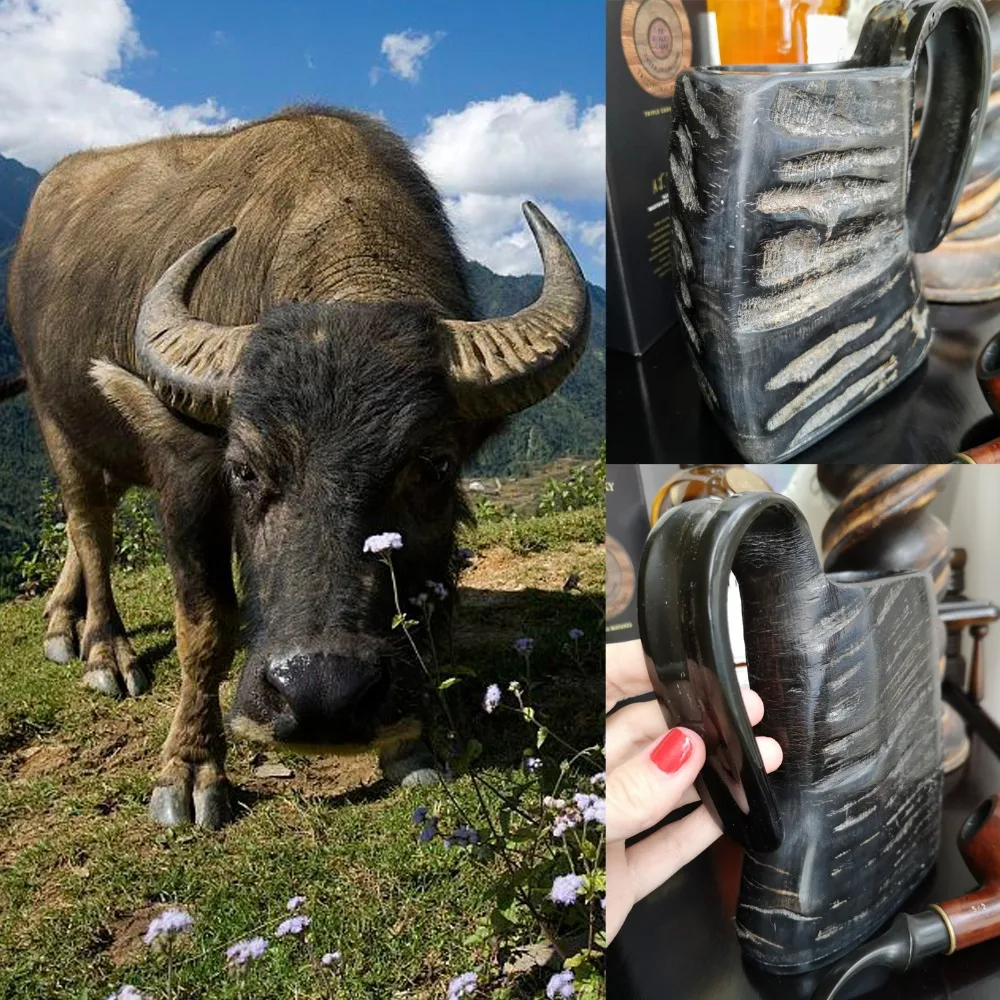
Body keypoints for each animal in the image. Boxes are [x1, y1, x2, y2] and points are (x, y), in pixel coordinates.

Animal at [5, 106, 589, 827]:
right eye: (244, 469)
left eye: (434, 465)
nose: (320, 697)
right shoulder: (187, 472)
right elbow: (205, 623)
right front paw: (190, 769)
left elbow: (422, 620)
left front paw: (409, 747)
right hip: (51, 412)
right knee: (89, 521)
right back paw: (103, 648)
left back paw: (63, 618)